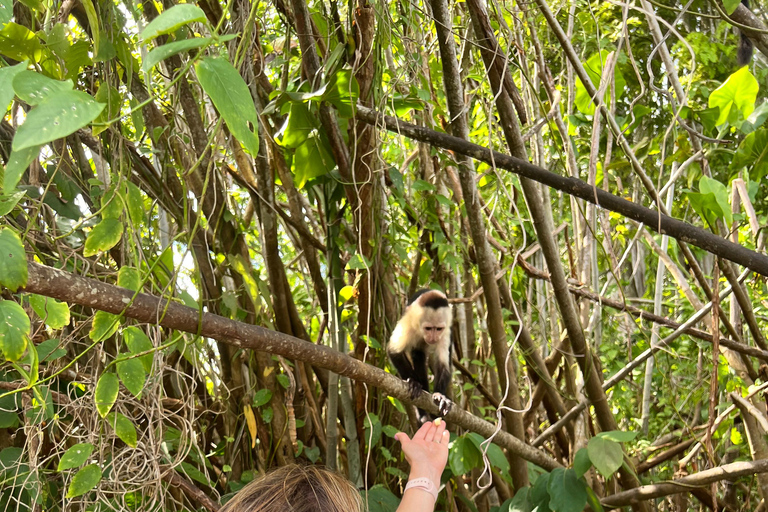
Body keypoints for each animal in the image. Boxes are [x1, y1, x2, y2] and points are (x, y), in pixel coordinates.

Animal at [388, 290, 452, 422]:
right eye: (428, 328)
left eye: (438, 329)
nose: (433, 338)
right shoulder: (407, 323)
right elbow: (394, 351)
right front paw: (414, 382)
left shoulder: (446, 332)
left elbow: (444, 367)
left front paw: (440, 396)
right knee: (417, 354)